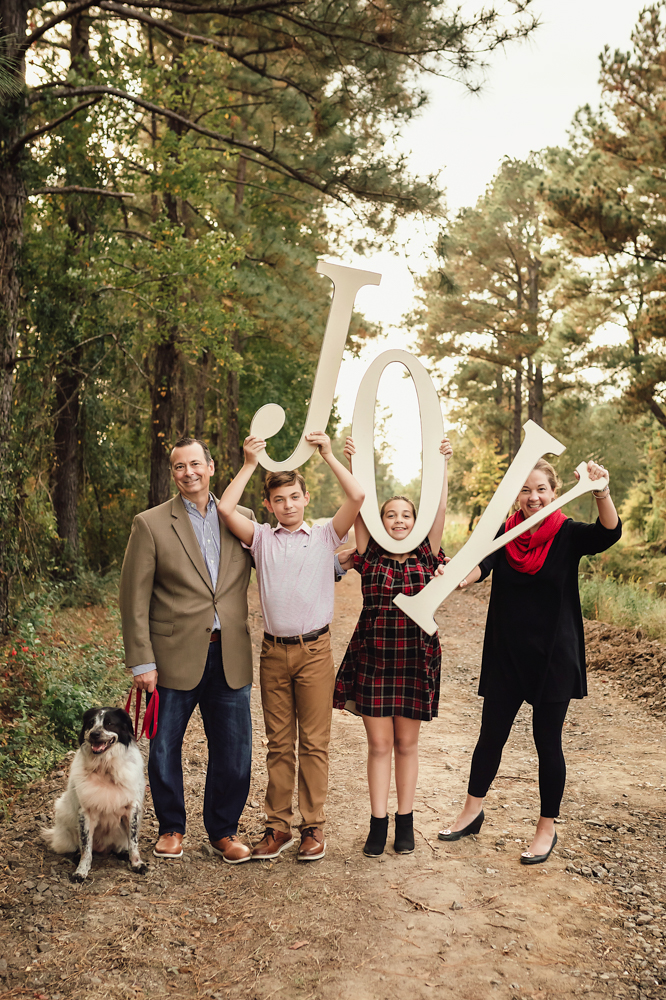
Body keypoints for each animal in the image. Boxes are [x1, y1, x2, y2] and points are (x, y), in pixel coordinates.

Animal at [42, 708, 147, 880]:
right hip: (64, 814)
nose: (94, 734)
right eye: (91, 723)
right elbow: (86, 847)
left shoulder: (132, 809)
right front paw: (81, 871)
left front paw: (137, 863)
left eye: (109, 723)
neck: (104, 768)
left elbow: (133, 841)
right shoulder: (85, 813)